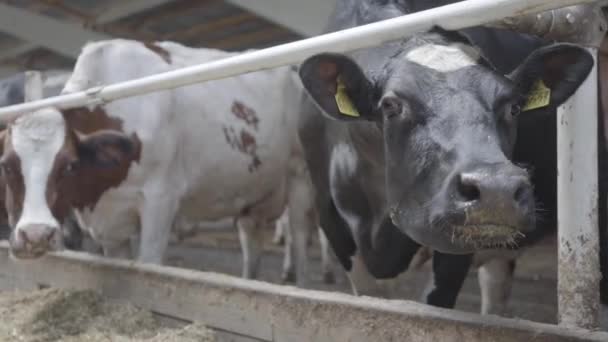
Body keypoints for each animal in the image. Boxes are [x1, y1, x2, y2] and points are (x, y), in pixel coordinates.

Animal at [3, 38, 318, 286]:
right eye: (6, 165)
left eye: (68, 165)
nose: (35, 235)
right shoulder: (110, 221)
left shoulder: (161, 200)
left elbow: (150, 266)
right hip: (252, 193)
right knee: (252, 242)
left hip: (300, 175)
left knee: (300, 239)